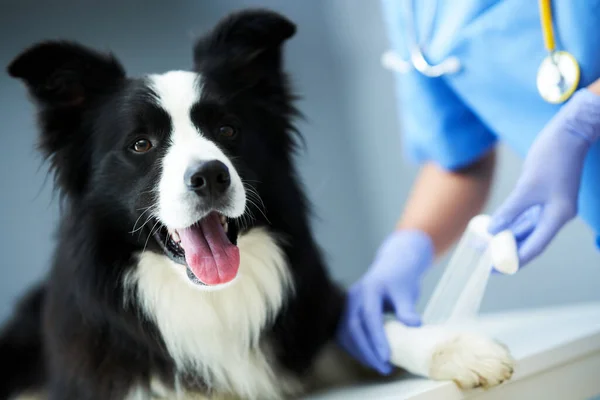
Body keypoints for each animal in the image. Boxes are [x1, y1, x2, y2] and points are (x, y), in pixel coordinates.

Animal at [2, 9, 512, 400]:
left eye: (227, 129)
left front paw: (460, 348)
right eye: (141, 144)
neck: (209, 298)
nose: (210, 175)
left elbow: (373, 327)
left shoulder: (308, 314)